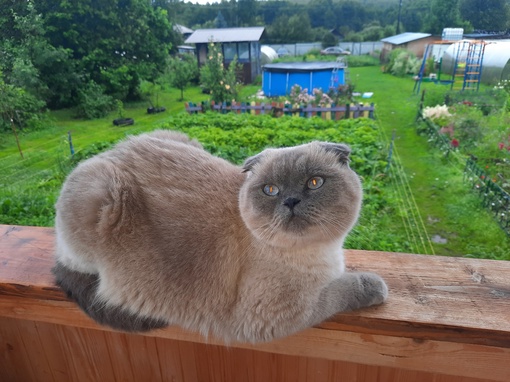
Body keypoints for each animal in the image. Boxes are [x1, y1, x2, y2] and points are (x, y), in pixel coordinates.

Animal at [52, 131, 386, 344]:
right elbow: (341, 289)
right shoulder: (275, 314)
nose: (291, 201)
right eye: (271, 190)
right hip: (102, 192)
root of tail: (110, 151)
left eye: (314, 183)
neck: (321, 252)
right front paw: (375, 286)